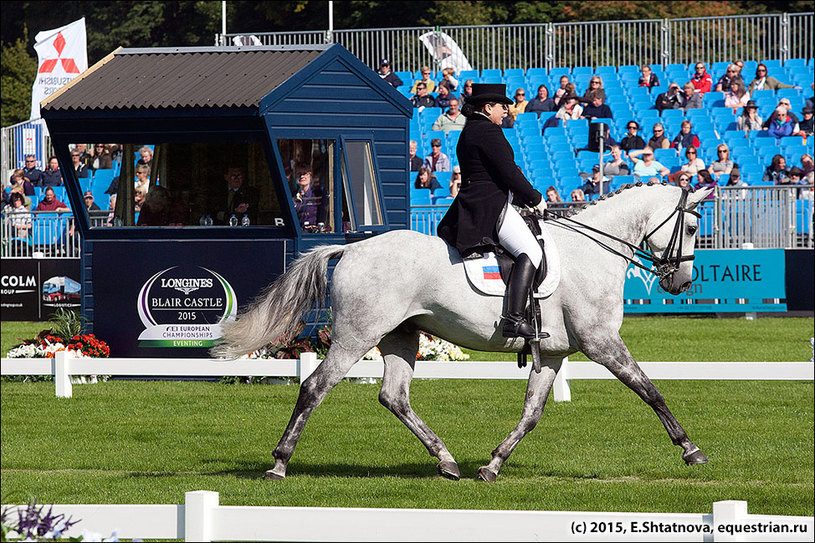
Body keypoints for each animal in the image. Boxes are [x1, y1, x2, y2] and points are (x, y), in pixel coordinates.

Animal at [212, 184, 712, 484]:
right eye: (690, 226)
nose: (682, 282)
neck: (592, 251)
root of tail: (351, 248)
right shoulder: (601, 343)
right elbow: (649, 389)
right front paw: (690, 449)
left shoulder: (553, 354)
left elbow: (531, 413)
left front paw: (492, 464)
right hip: (358, 334)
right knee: (315, 386)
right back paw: (279, 463)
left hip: (400, 336)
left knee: (394, 396)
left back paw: (447, 460)